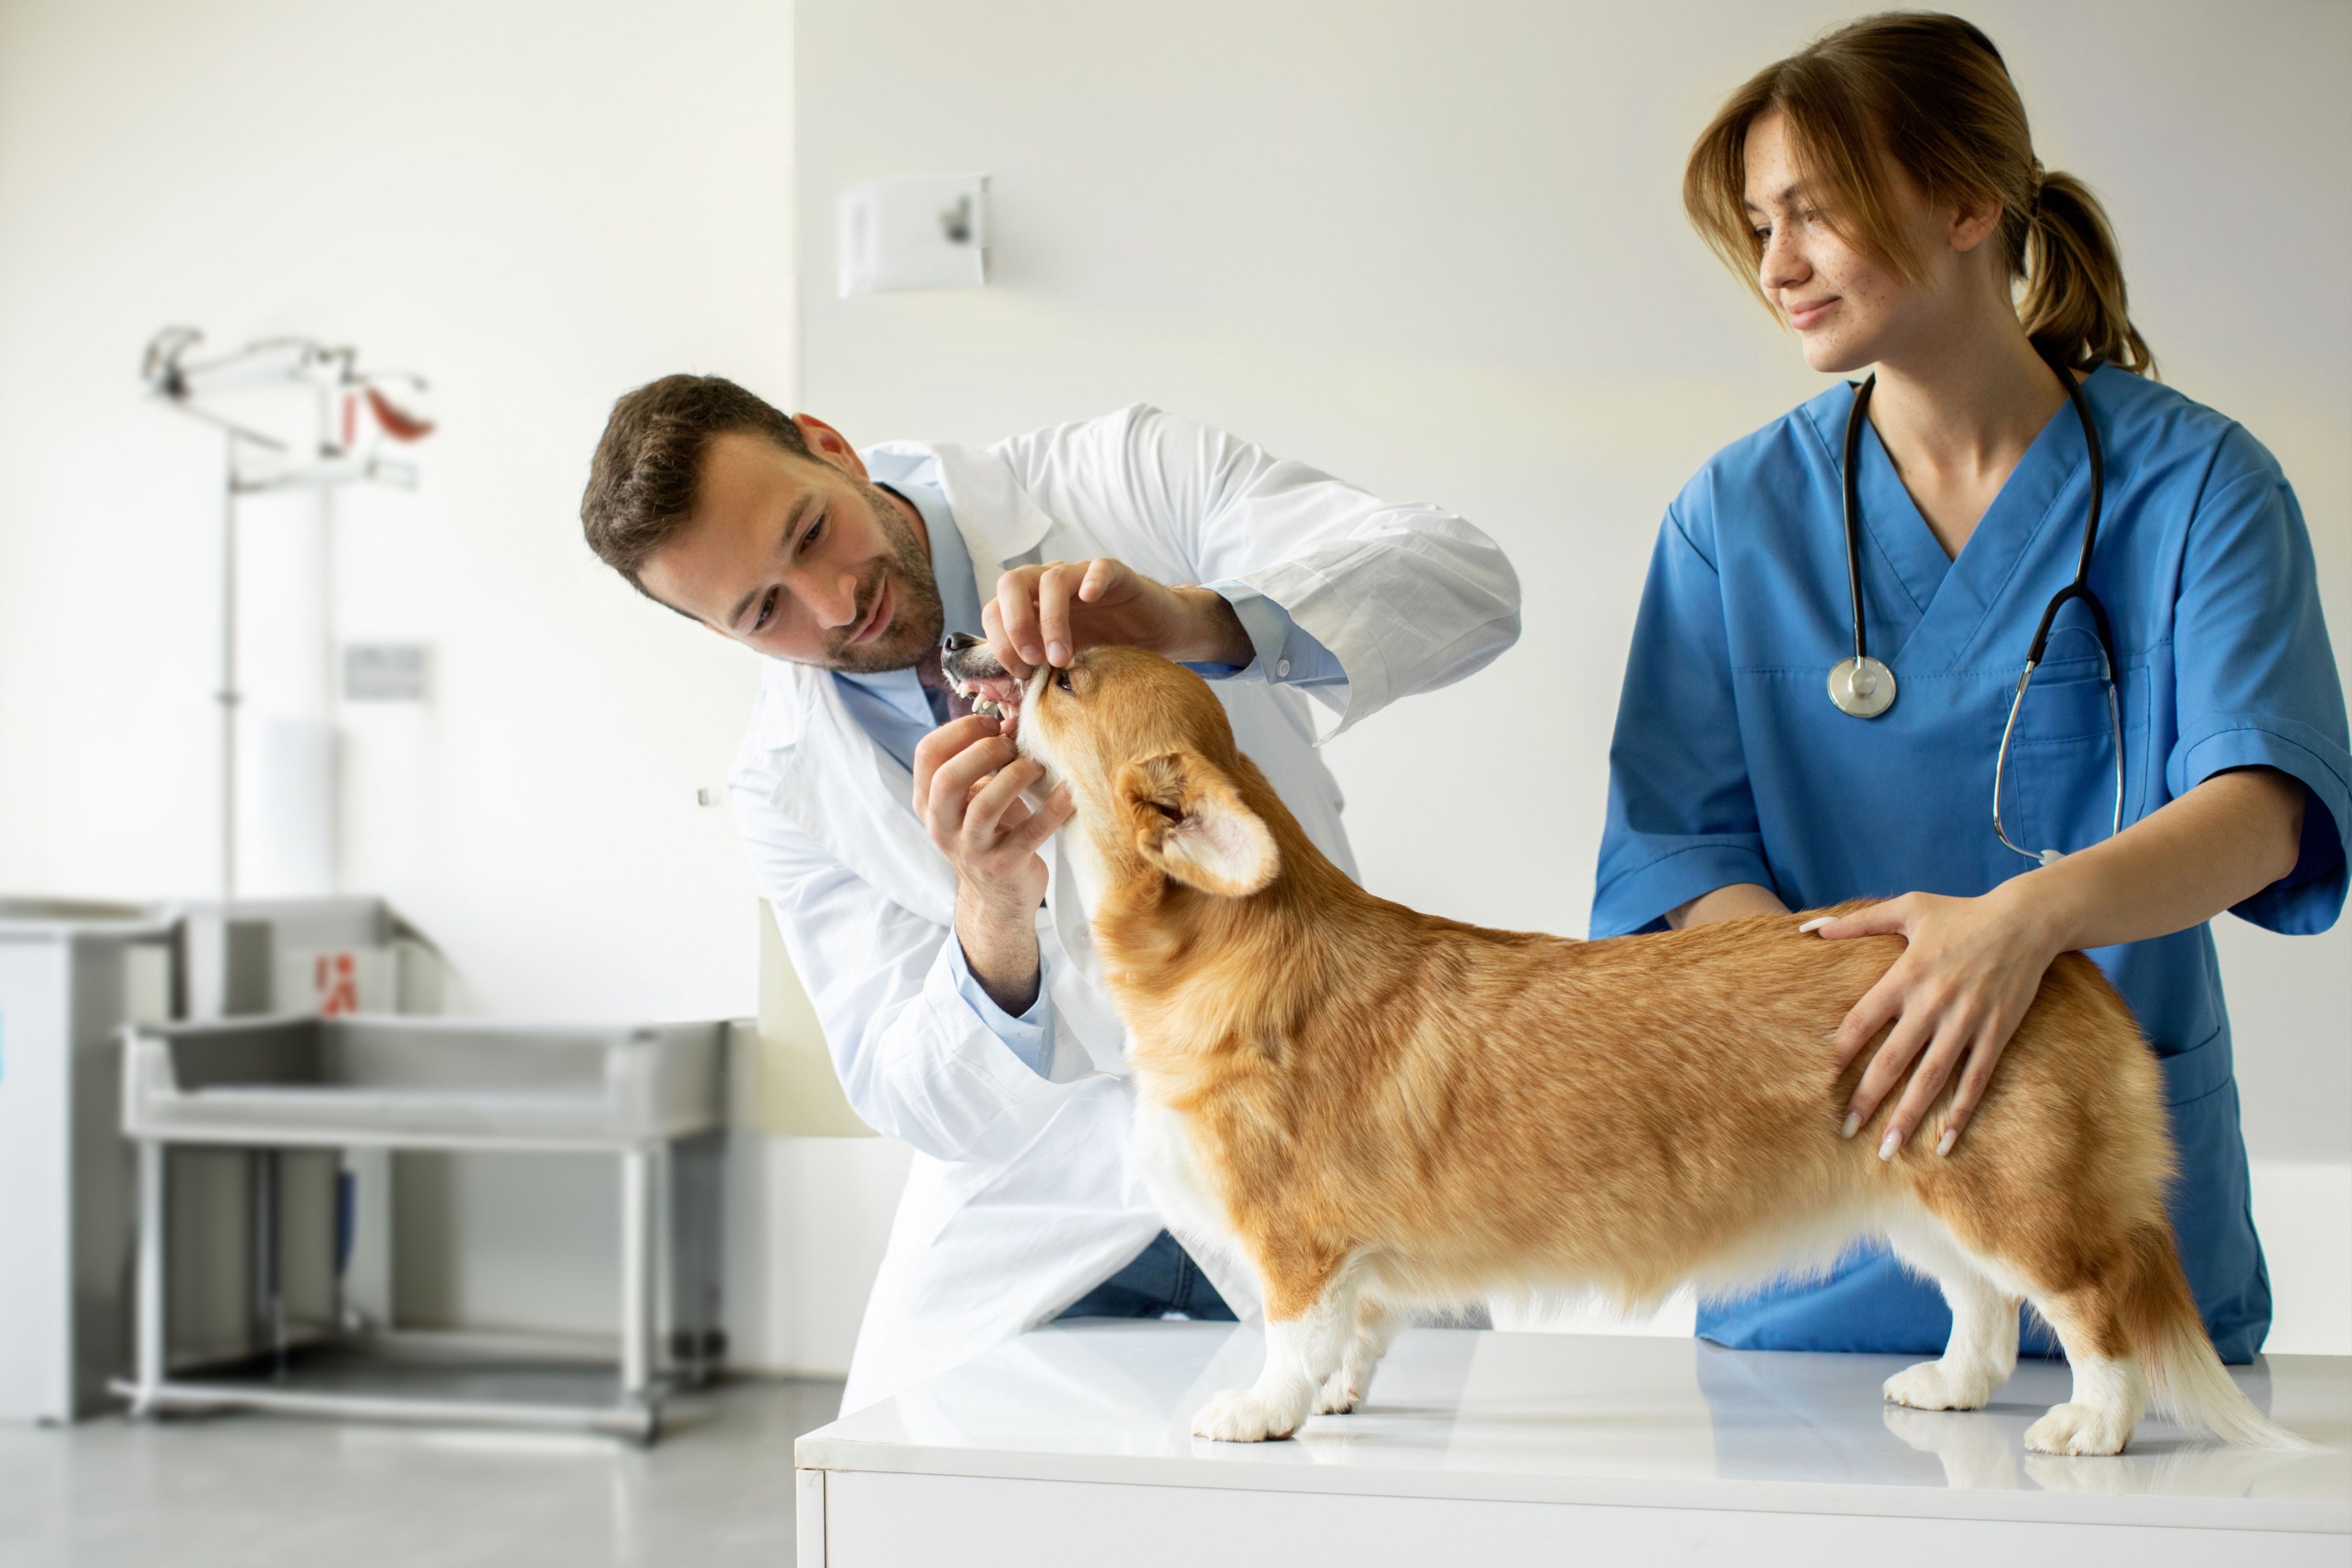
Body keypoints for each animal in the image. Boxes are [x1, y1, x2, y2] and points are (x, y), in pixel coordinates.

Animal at [940, 634, 2295, 1457]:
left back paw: (2090, 1427)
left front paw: (1262, 1411)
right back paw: (1949, 1386)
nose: (959, 642)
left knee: (2091, 1312)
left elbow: (1288, 1333)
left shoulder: (1294, 1238)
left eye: (1061, 677)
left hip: (2014, 1199)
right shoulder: (1354, 1258)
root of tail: (2055, 957)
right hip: (1920, 1187)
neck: (1219, 945)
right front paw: (1337, 1394)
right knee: (1984, 1308)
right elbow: (1358, 1332)